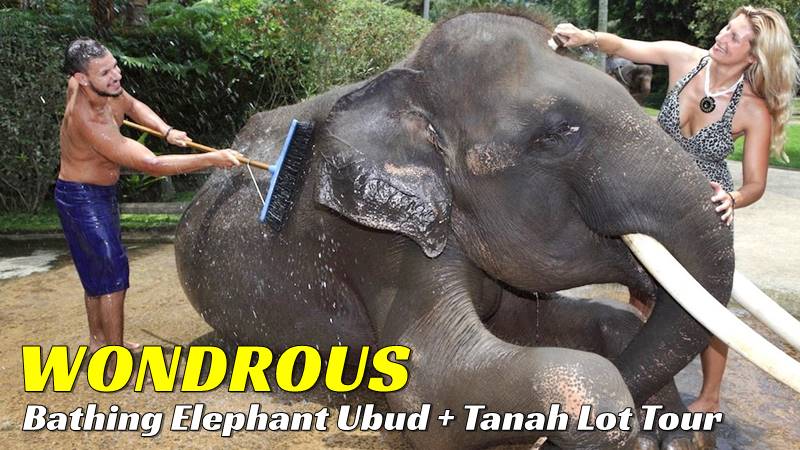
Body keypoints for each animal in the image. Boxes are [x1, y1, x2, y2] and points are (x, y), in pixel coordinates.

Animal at [175, 10, 792, 449]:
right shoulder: (375, 244)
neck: (407, 79)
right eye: (557, 133)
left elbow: (573, 322)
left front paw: (669, 433)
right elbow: (431, 381)